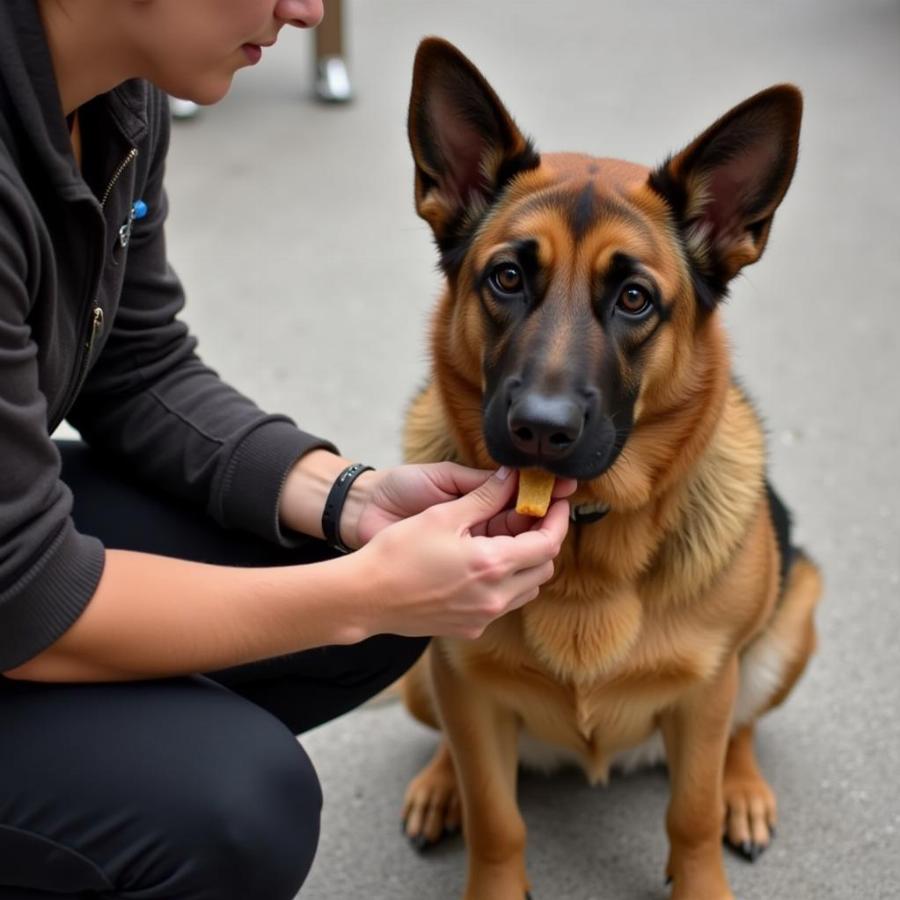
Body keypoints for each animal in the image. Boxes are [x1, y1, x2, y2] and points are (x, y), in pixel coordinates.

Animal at [400, 38, 824, 900]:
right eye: (506, 277)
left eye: (634, 298)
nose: (540, 431)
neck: (586, 555)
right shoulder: (466, 691)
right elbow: (496, 817)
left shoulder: (704, 696)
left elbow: (690, 813)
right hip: (425, 680)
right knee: (451, 750)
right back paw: (437, 786)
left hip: (790, 623)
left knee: (743, 730)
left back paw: (744, 791)